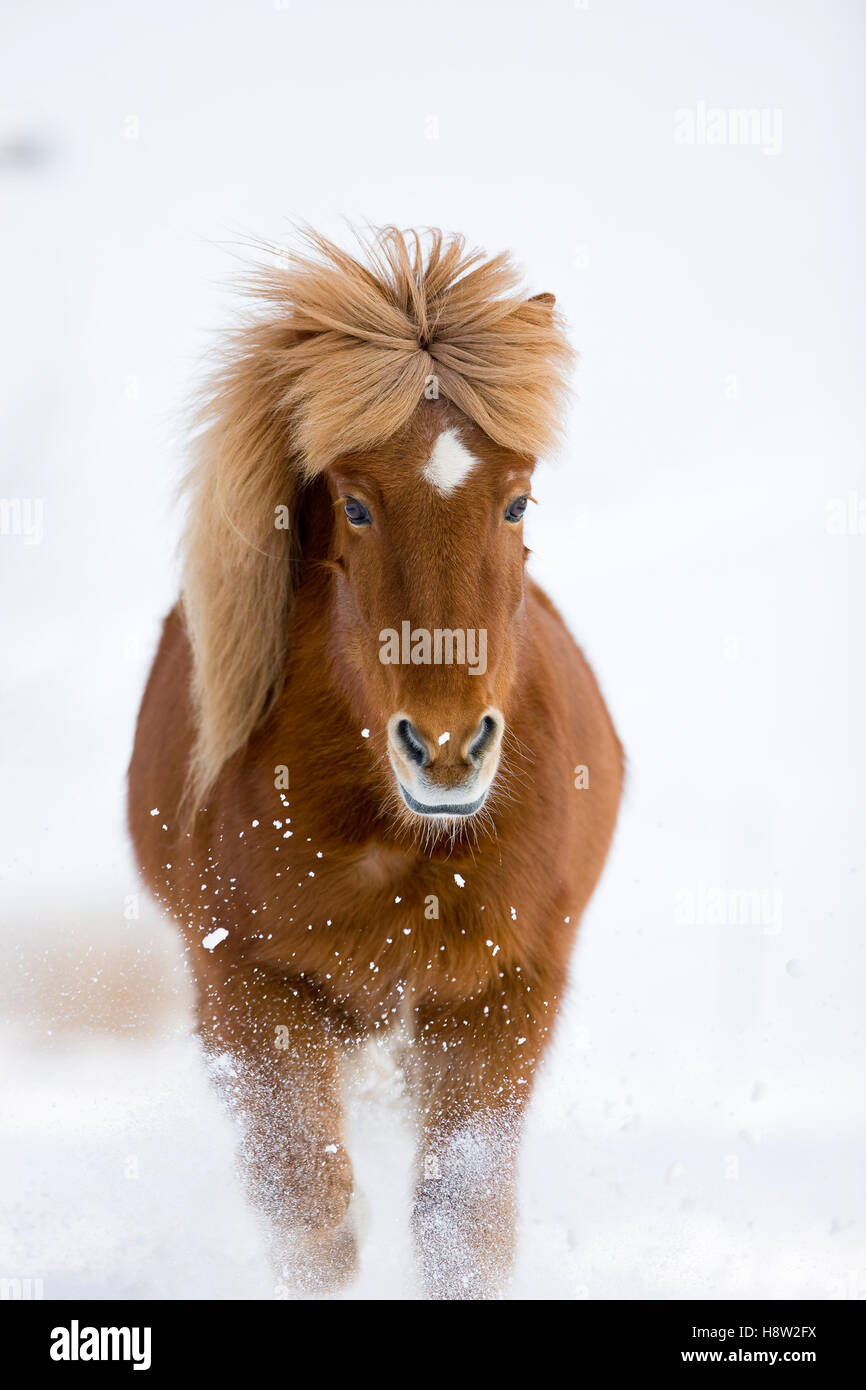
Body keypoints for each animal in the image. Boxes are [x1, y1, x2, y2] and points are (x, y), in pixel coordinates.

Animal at [128, 222, 622, 1295]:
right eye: (354, 507)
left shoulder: (504, 992)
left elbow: (462, 1228)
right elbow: (310, 1214)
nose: (445, 748)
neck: (404, 848)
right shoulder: (251, 992)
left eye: (518, 503)